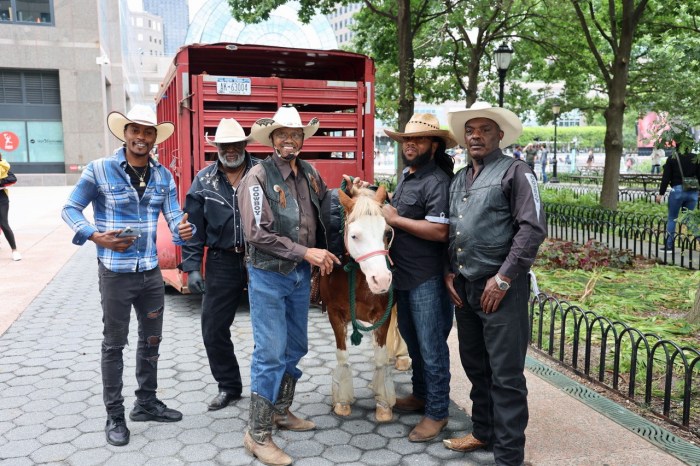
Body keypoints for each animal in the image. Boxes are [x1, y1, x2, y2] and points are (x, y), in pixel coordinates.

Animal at [320, 185, 396, 422]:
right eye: (354, 235)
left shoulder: (384, 314)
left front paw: (383, 404)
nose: (382, 280)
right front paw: (342, 402)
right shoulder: (334, 313)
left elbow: (380, 358)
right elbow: (342, 356)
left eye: (387, 233)